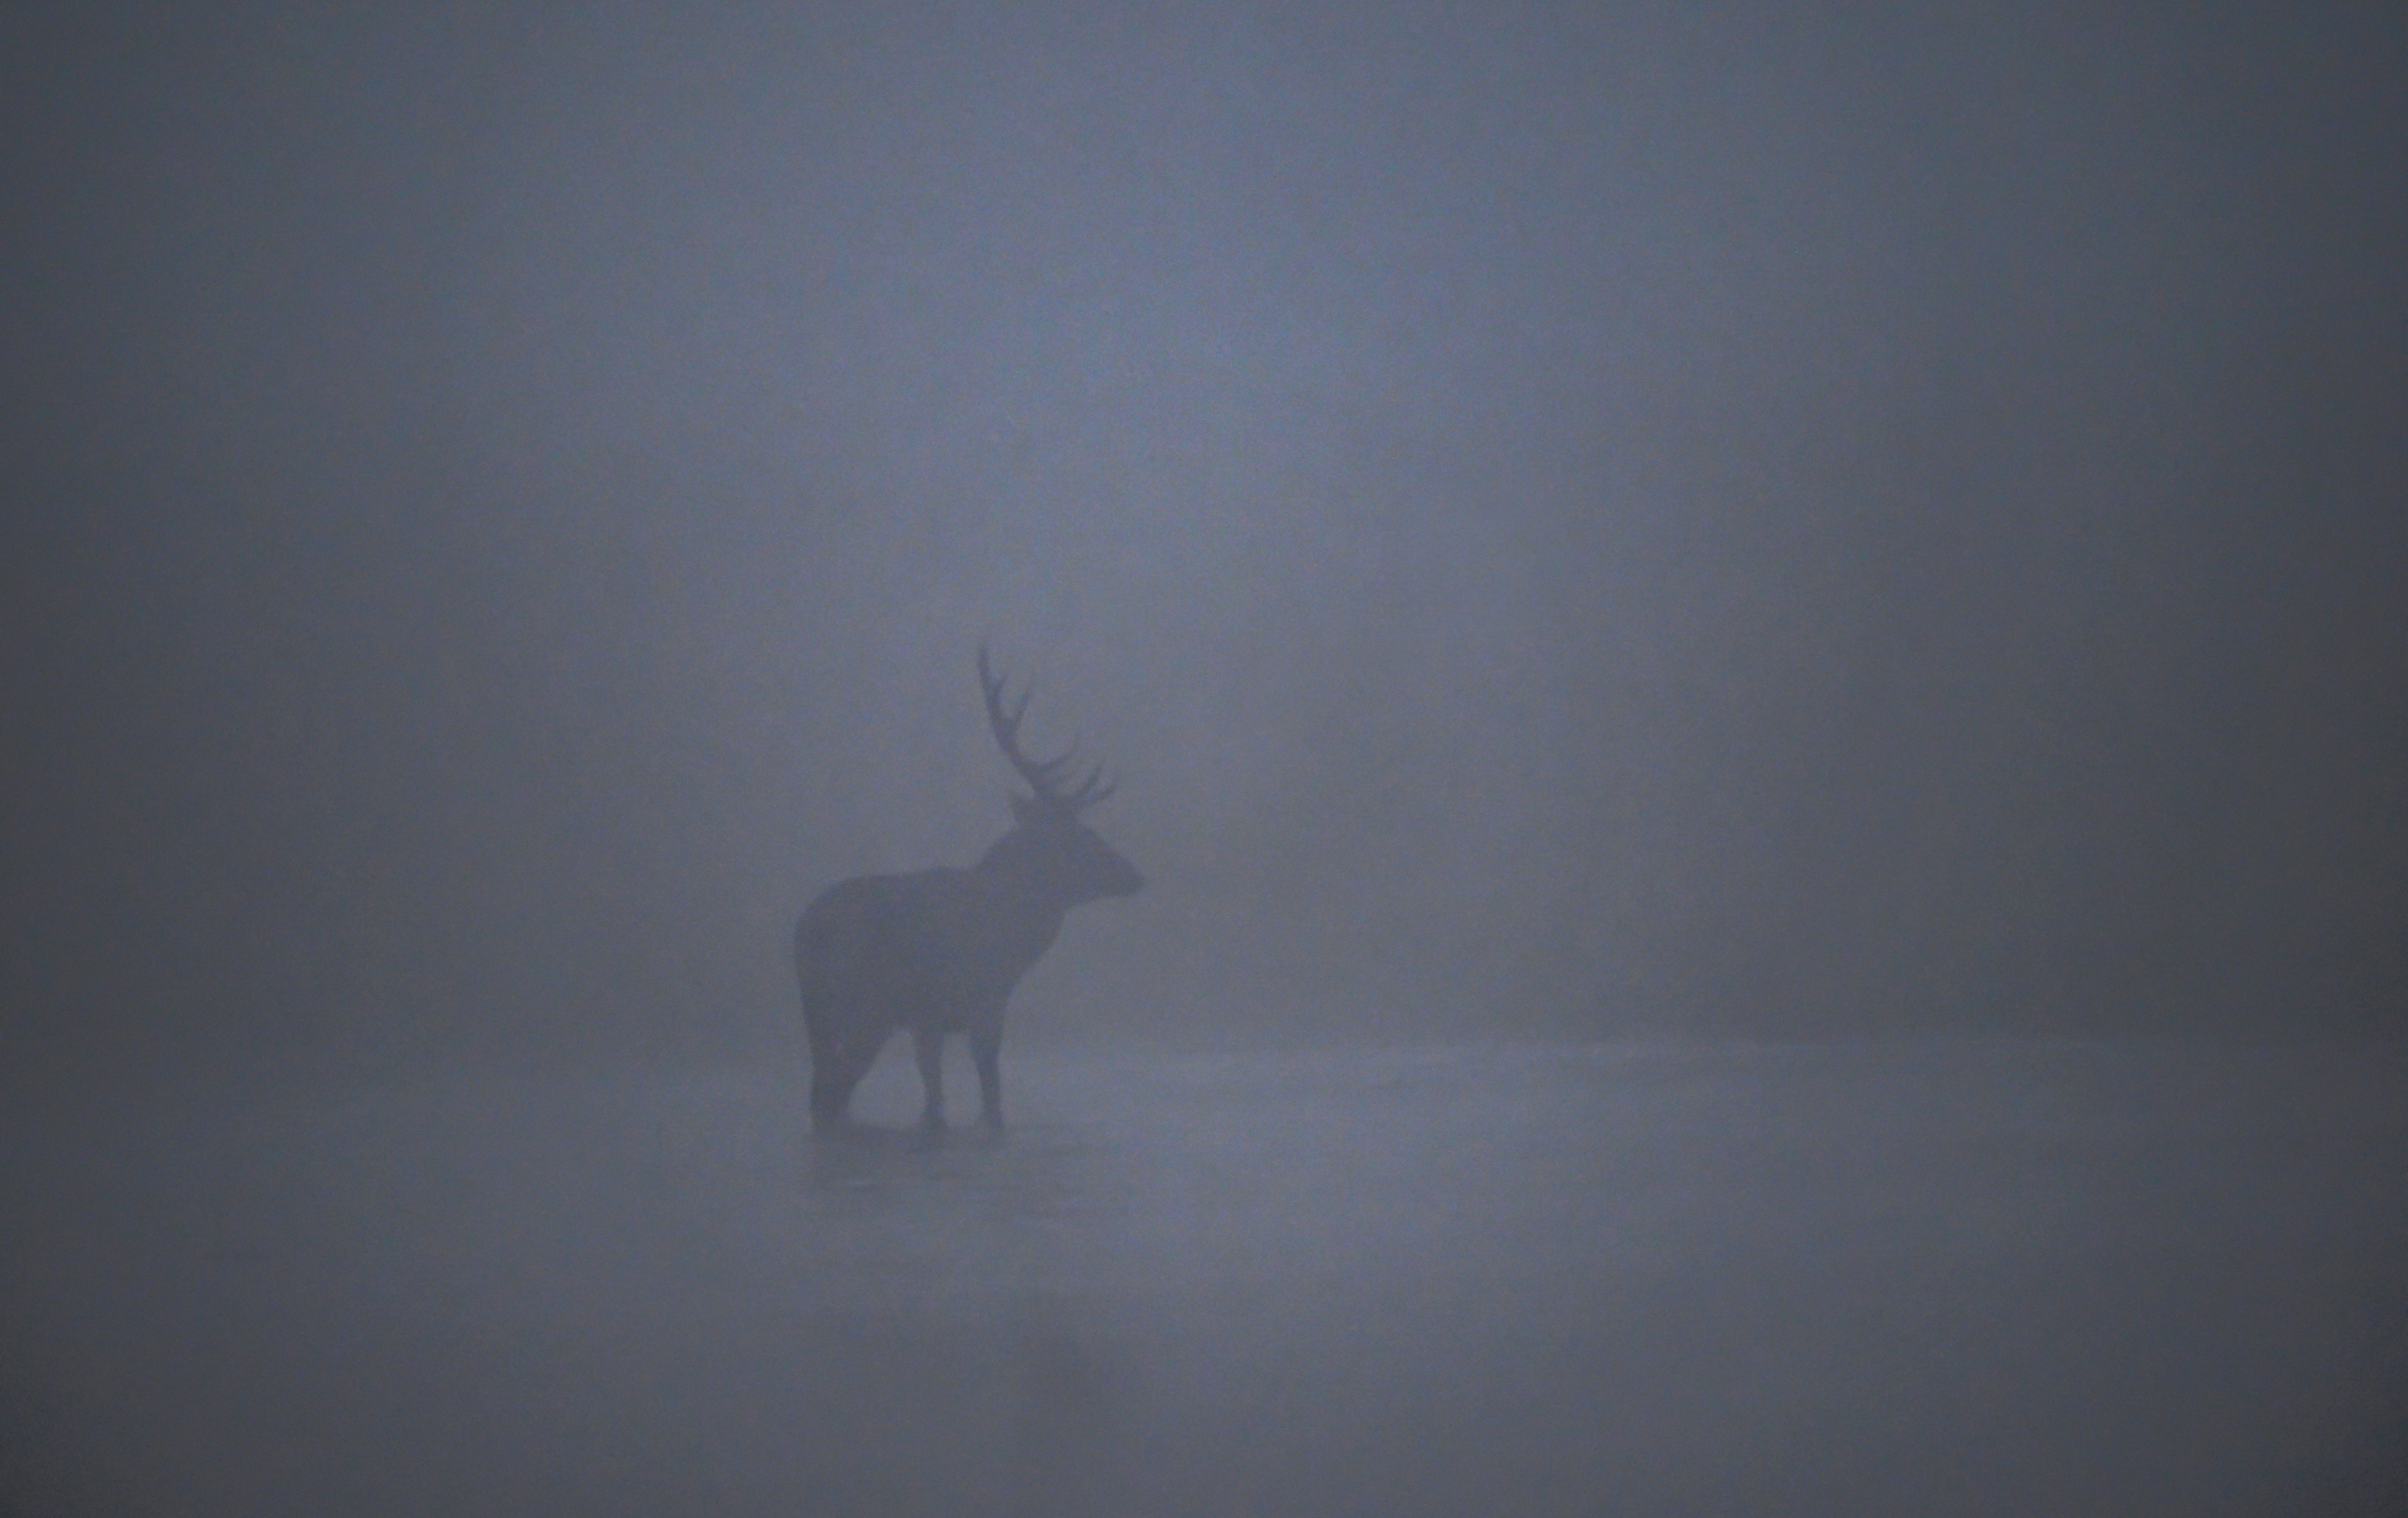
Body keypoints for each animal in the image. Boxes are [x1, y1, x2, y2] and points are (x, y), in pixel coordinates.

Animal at [793, 646, 1141, 1134]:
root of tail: (804, 932)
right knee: (830, 1093)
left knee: (828, 1093)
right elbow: (974, 1091)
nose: (1134, 874)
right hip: (858, 1007)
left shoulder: (947, 1014)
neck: (1010, 939)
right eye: (1078, 837)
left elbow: (958, 1091)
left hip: (836, 1016)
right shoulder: (962, 1001)